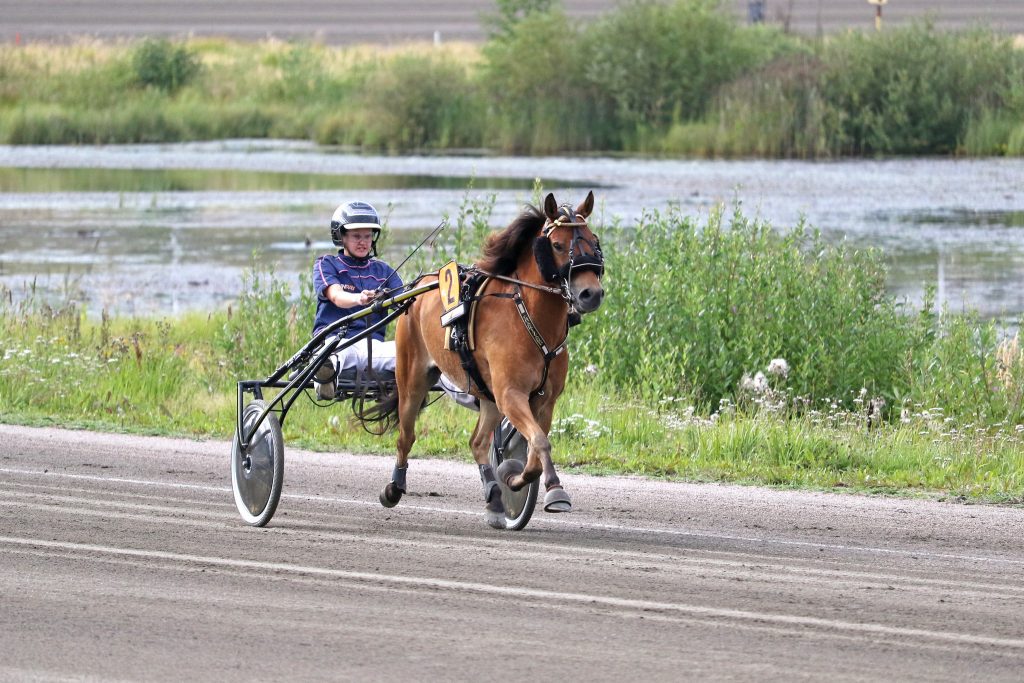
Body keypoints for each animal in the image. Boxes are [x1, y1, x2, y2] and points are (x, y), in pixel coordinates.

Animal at [372, 192, 602, 528]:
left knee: (478, 442)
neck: (529, 316)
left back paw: (494, 499)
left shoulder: (543, 400)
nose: (590, 293)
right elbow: (540, 442)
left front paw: (514, 479)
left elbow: (534, 450)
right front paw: (554, 490)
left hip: (487, 395)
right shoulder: (511, 394)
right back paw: (393, 488)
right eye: (558, 245)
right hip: (412, 378)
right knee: (406, 436)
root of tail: (418, 287)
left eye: (594, 241)